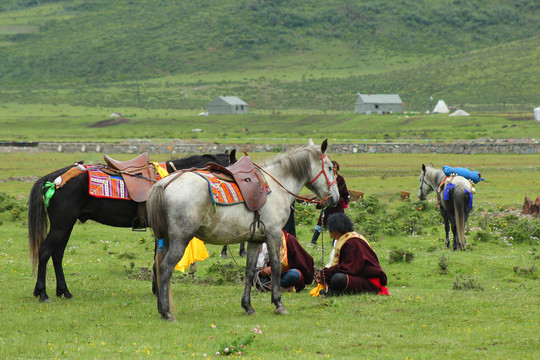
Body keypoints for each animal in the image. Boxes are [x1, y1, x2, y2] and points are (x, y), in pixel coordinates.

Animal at [27, 150, 234, 302]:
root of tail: (53, 178)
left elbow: (157, 257)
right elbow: (158, 258)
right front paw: (159, 290)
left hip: (67, 224)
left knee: (57, 255)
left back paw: (64, 291)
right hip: (61, 224)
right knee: (45, 252)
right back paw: (42, 293)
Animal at [144, 139, 338, 320]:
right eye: (330, 168)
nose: (334, 198)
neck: (277, 186)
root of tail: (164, 184)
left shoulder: (255, 239)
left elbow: (250, 271)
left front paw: (248, 306)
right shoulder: (273, 235)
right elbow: (276, 267)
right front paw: (278, 304)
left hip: (165, 239)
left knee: (158, 267)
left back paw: (162, 309)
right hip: (180, 240)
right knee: (165, 268)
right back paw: (166, 312)